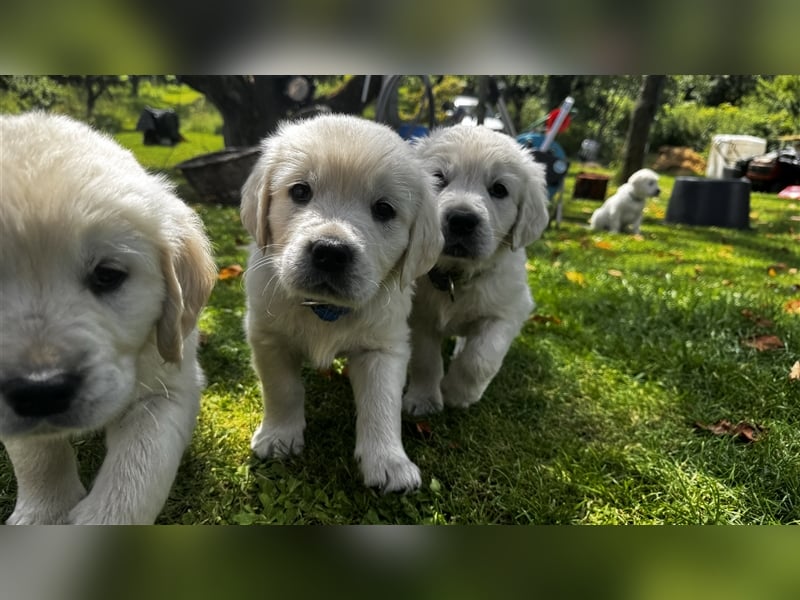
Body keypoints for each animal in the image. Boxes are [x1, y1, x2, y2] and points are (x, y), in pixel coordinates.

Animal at [0, 110, 217, 524]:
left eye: (107, 275)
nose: (41, 390)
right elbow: (37, 452)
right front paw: (45, 511)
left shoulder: (170, 382)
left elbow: (139, 468)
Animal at [242, 112, 444, 492]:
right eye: (300, 191)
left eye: (384, 209)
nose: (330, 252)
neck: (324, 309)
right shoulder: (268, 337)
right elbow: (282, 389)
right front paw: (279, 436)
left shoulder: (383, 347)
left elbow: (381, 404)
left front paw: (389, 462)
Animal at [406, 125, 552, 418]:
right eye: (438, 178)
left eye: (499, 189)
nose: (462, 220)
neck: (455, 276)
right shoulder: (419, 317)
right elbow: (424, 359)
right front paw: (423, 399)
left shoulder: (508, 310)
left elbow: (480, 358)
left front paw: (457, 392)